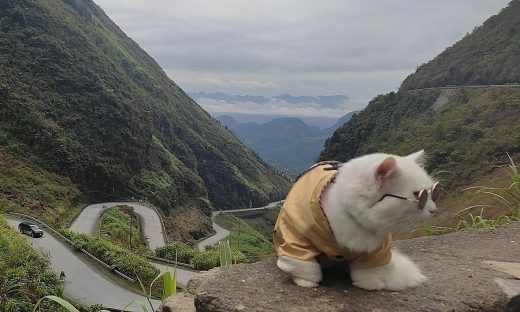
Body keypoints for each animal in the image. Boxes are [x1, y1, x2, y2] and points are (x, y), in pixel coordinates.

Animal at [274, 151, 436, 290]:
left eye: (432, 193)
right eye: (418, 195)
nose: (435, 210)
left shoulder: (376, 250)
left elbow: (369, 270)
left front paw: (369, 283)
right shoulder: (297, 238)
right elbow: (303, 265)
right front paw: (306, 281)